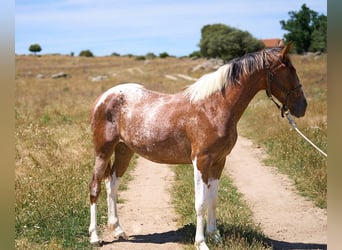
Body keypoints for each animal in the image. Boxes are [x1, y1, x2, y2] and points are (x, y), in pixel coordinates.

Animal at [88, 44, 308, 249]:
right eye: (289, 71)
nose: (302, 107)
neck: (213, 107)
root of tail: (102, 98)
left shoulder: (219, 162)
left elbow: (213, 200)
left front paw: (215, 236)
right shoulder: (201, 161)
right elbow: (200, 203)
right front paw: (201, 242)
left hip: (124, 150)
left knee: (112, 184)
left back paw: (118, 229)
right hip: (102, 151)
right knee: (95, 187)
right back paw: (95, 237)